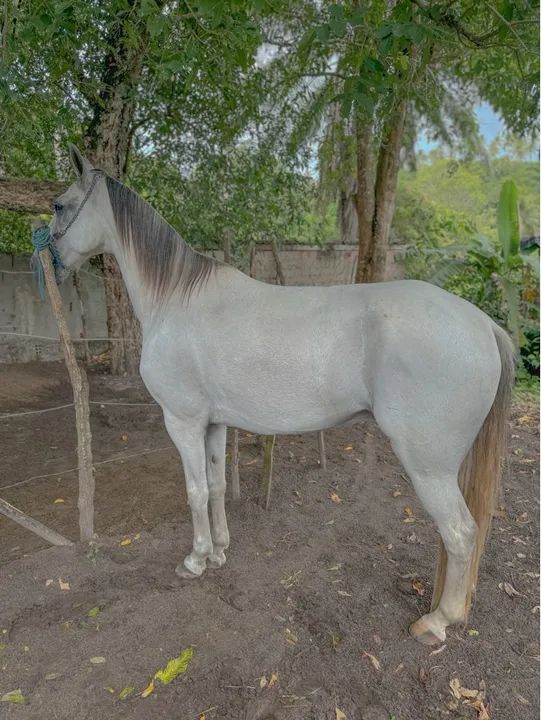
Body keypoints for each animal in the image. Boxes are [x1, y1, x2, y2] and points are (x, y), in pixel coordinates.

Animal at [47, 144, 514, 646]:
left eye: (59, 205)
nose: (52, 263)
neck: (175, 300)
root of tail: (483, 324)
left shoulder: (183, 422)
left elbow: (194, 490)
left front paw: (194, 560)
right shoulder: (213, 424)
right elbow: (216, 485)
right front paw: (219, 552)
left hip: (429, 467)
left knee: (460, 533)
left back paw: (437, 621)